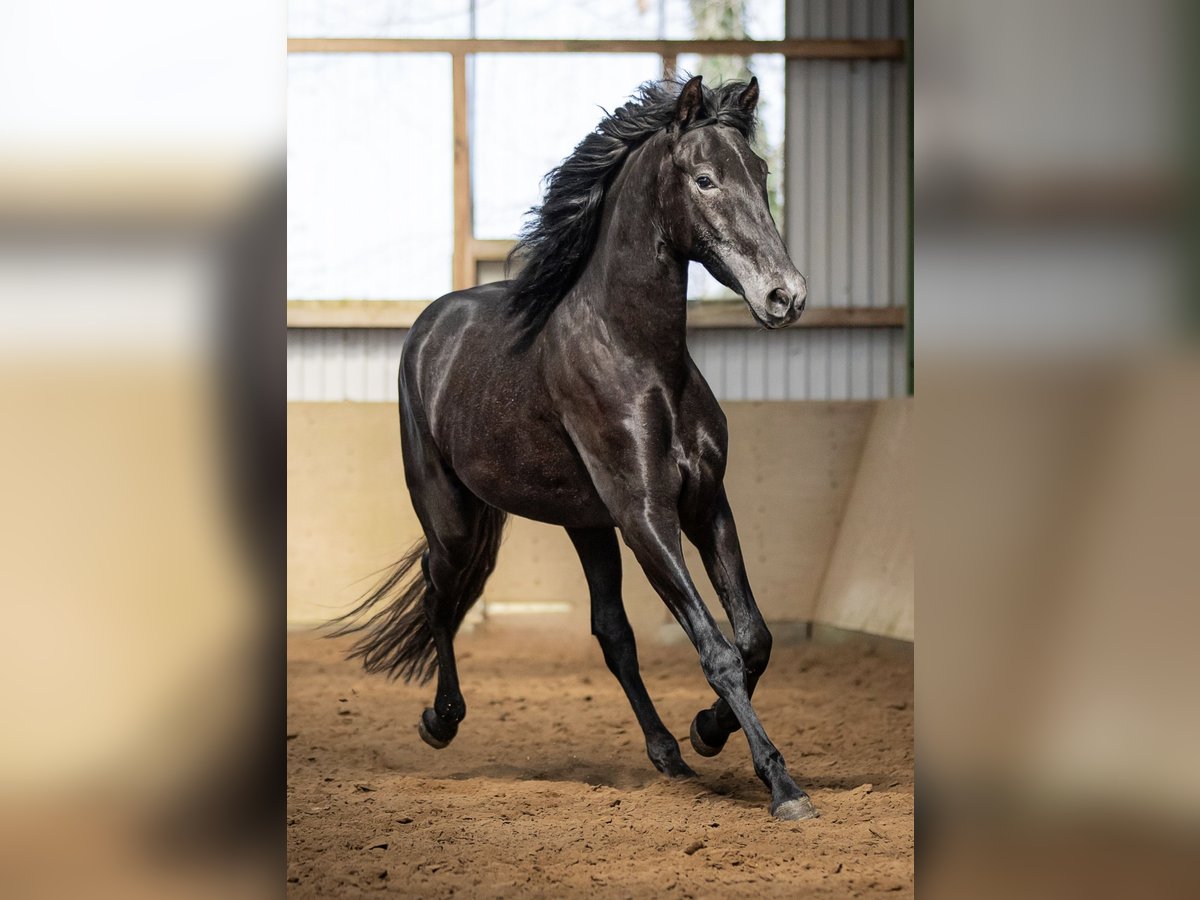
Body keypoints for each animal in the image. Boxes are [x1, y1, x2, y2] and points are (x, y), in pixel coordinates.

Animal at [336, 77, 816, 820]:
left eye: (761, 173)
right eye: (704, 179)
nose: (785, 296)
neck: (639, 356)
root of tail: (430, 325)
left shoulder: (705, 506)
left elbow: (753, 638)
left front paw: (706, 732)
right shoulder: (647, 518)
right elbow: (717, 650)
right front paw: (782, 786)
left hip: (584, 524)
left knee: (611, 633)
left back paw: (668, 752)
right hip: (452, 519)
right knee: (441, 596)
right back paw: (440, 721)